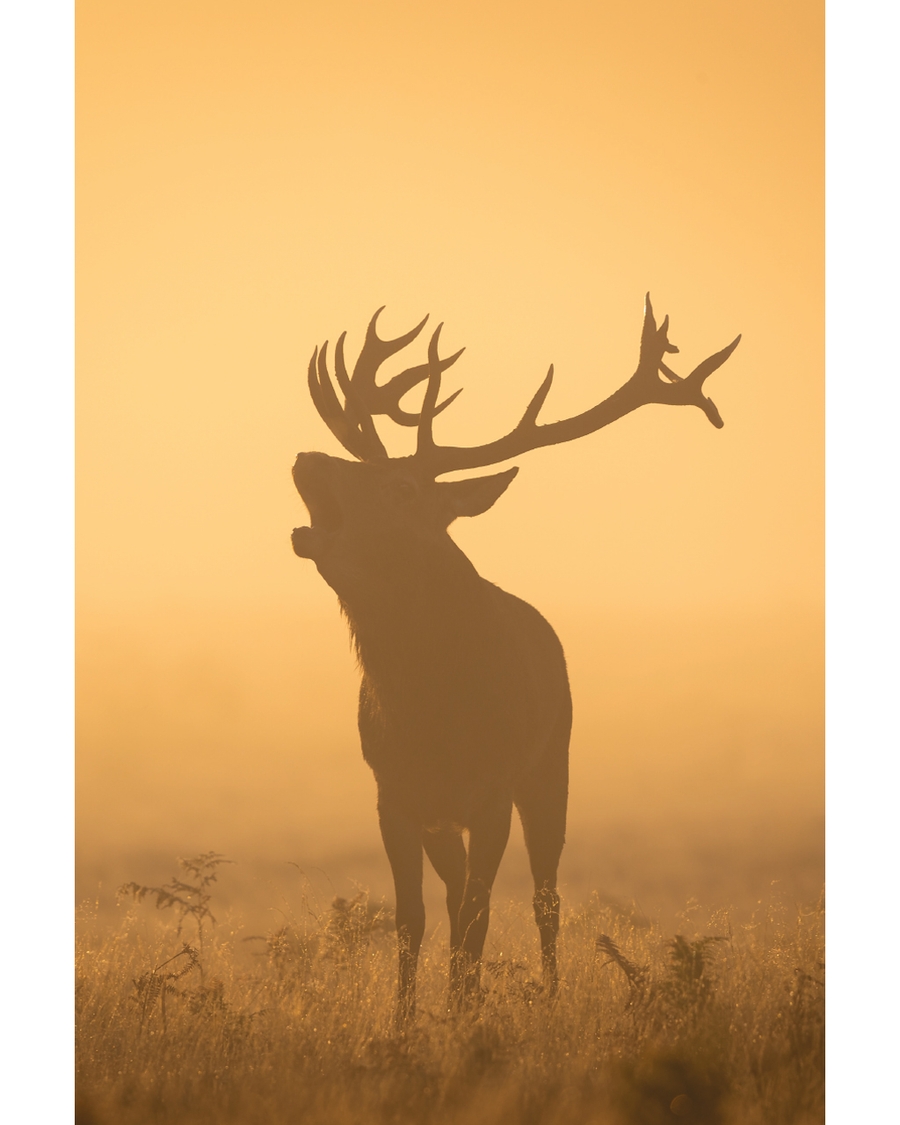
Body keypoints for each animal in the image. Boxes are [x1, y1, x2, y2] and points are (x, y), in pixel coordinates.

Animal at [291, 296, 740, 1023]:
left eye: (403, 486)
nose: (307, 458)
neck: (426, 709)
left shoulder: (494, 788)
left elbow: (478, 917)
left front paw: (462, 1013)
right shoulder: (394, 793)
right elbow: (413, 919)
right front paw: (407, 1020)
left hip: (552, 765)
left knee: (543, 897)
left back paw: (548, 994)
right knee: (457, 894)